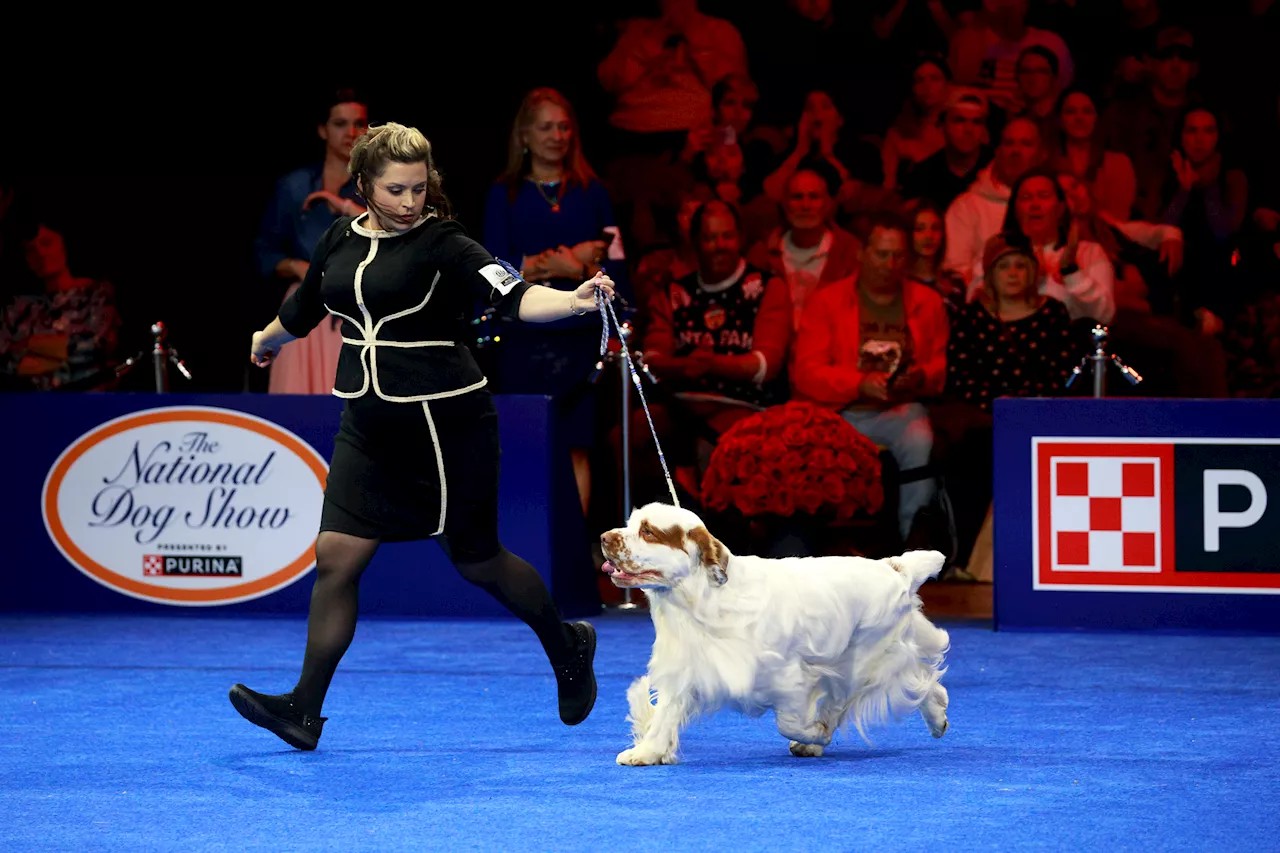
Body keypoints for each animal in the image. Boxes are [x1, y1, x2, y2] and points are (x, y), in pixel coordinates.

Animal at [599, 499, 952, 763]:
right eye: (631, 524)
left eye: (648, 531)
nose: (604, 538)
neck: (702, 601)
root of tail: (895, 568)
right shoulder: (687, 666)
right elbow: (666, 713)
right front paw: (646, 752)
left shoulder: (790, 676)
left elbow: (789, 722)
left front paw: (813, 734)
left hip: (862, 660)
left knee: (898, 684)